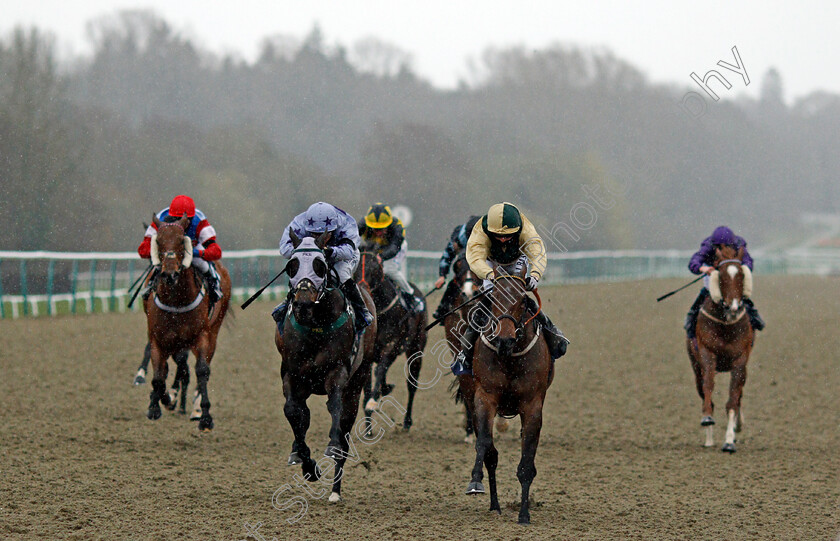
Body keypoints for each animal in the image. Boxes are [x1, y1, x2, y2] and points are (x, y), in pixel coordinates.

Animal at [144, 214, 230, 430]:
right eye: (158, 241)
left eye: (181, 242)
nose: (170, 274)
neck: (176, 299)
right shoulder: (158, 339)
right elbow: (159, 375)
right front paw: (158, 404)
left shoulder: (201, 336)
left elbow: (202, 370)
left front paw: (205, 416)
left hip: (213, 331)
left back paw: (196, 409)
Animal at [276, 231, 378, 502]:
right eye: (292, 265)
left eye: (319, 265)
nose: (302, 302)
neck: (315, 326)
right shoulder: (292, 374)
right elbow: (293, 412)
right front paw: (307, 464)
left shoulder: (337, 371)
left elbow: (335, 407)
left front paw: (331, 448)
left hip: (358, 379)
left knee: (346, 424)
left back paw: (335, 490)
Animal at [352, 249, 426, 430]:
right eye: (355, 268)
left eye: (375, 268)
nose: (362, 289)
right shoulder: (368, 354)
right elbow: (368, 385)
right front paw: (368, 428)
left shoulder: (391, 345)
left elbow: (380, 370)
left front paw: (373, 402)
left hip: (416, 348)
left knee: (411, 385)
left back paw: (407, 421)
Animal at [456, 262, 556, 524]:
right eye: (493, 298)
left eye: (522, 299)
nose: (504, 340)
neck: (509, 357)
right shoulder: (485, 398)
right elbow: (484, 445)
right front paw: (475, 482)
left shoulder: (532, 406)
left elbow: (527, 461)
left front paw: (524, 514)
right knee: (490, 453)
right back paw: (495, 505)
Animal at [684, 245, 756, 452]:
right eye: (721, 274)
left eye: (741, 275)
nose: (733, 307)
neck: (726, 324)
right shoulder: (707, 355)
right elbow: (708, 387)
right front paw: (708, 419)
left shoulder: (740, 360)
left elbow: (733, 397)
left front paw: (730, 439)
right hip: (695, 367)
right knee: (702, 390)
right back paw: (708, 438)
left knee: (739, 395)